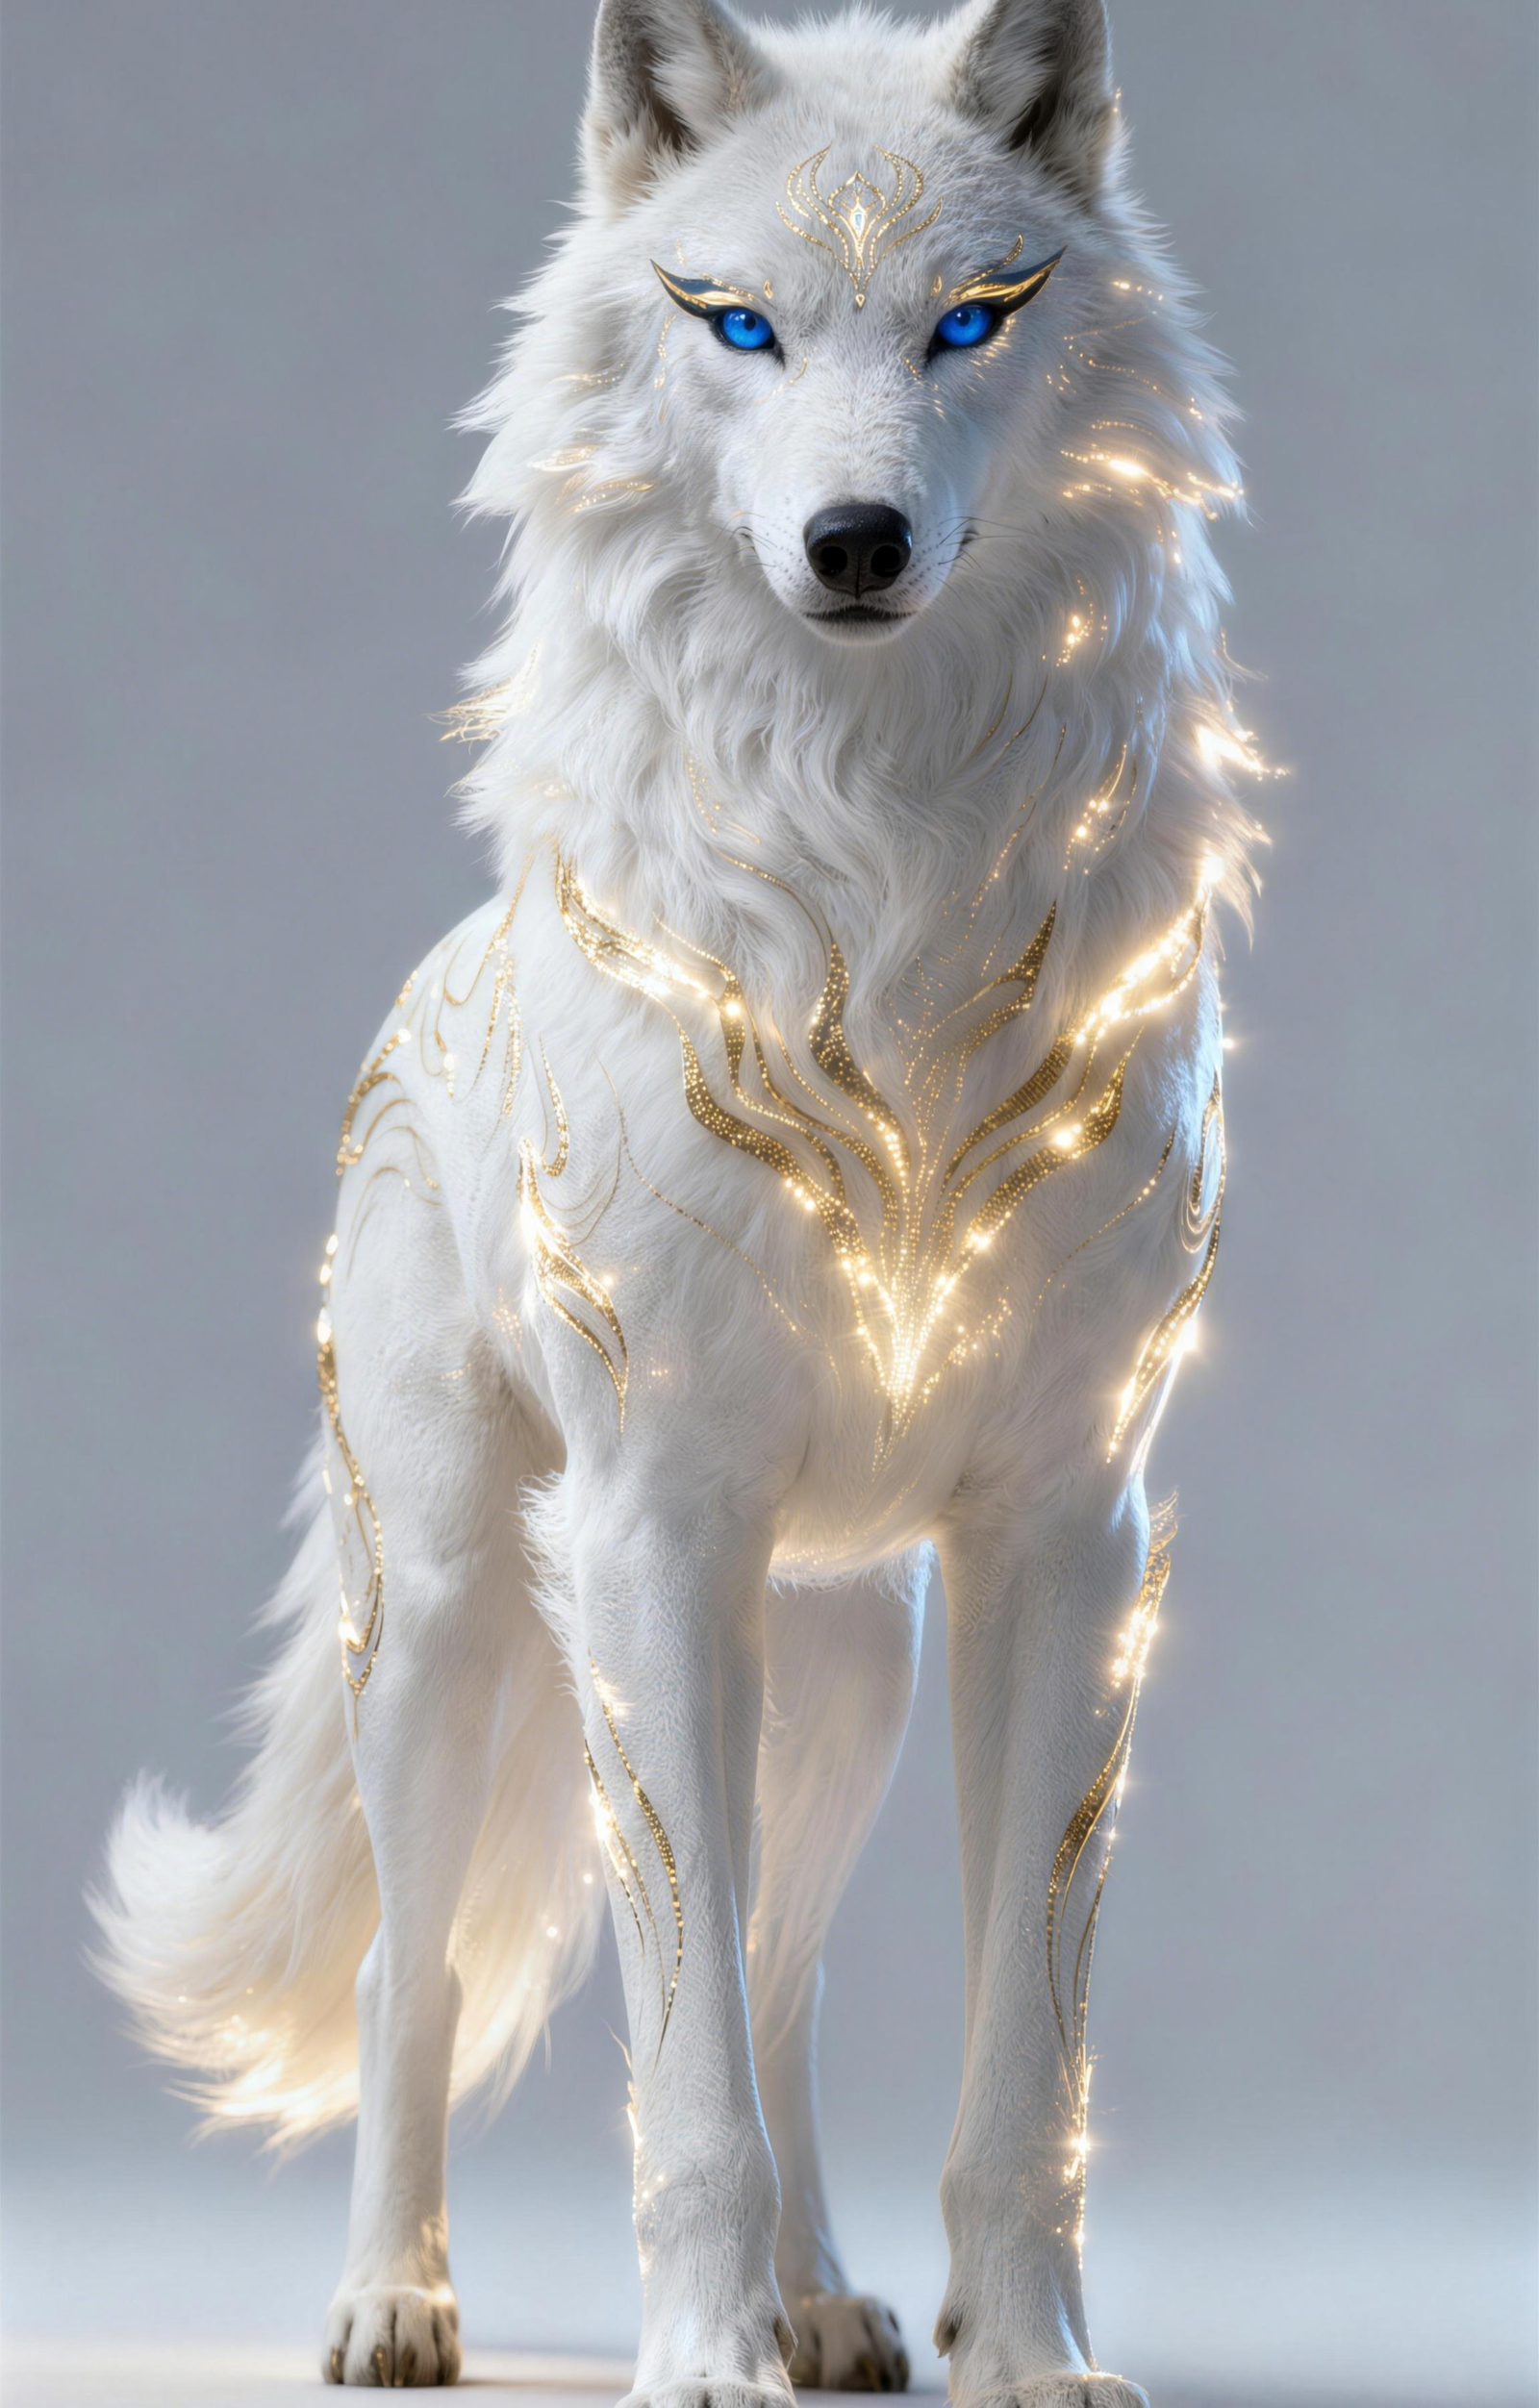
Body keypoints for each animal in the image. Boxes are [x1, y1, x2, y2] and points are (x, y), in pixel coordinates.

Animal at [93, 0, 1264, 2397]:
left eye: (970, 317)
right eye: (736, 321)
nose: (853, 538)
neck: (884, 897)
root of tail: (430, 977)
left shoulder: (1069, 1543)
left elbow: (1016, 2057)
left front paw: (1015, 2350)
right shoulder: (642, 1542)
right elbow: (670, 2054)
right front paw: (697, 2353)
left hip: (837, 1670)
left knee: (788, 1978)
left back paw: (828, 2306)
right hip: (453, 1625)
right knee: (420, 1968)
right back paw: (394, 2302)